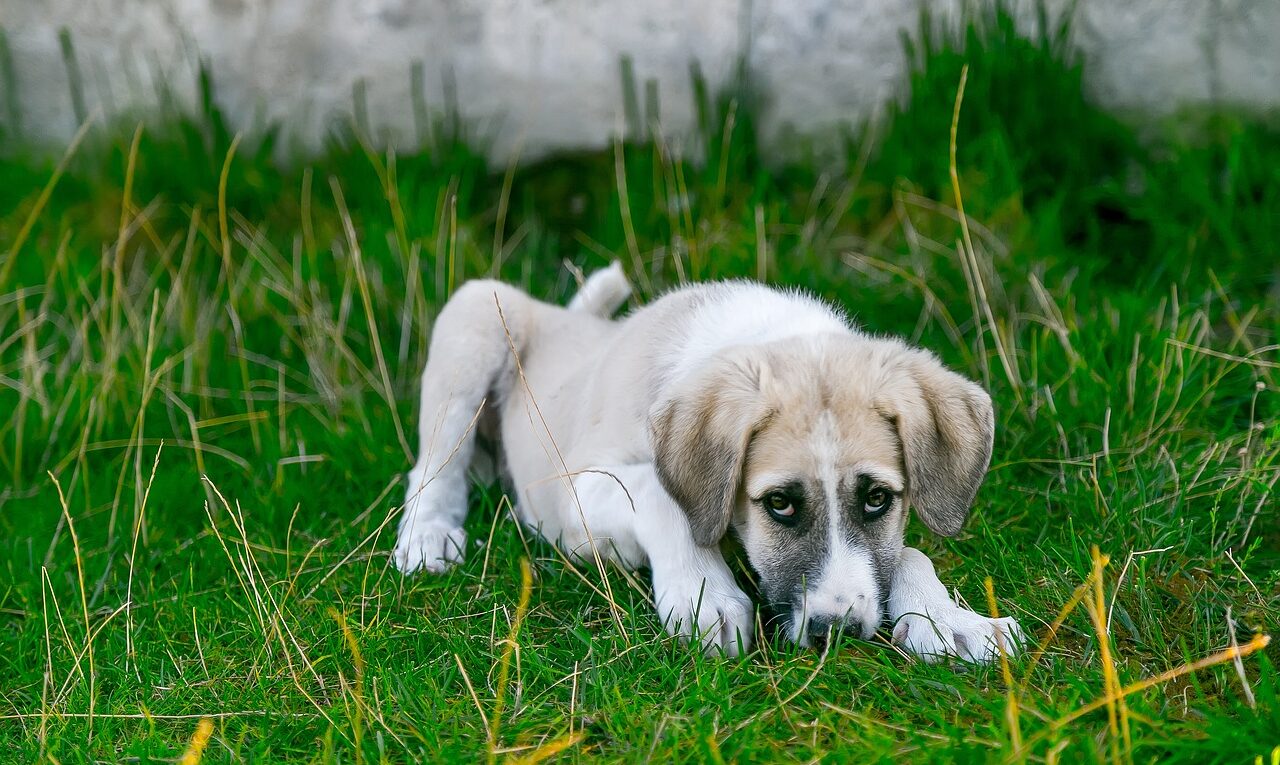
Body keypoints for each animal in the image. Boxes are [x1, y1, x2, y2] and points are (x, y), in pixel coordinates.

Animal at [394, 267, 1024, 660]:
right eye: (779, 504)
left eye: (877, 499)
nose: (838, 633)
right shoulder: (575, 493)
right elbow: (659, 495)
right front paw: (704, 594)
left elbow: (909, 553)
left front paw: (951, 620)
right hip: (476, 315)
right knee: (433, 463)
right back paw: (428, 535)